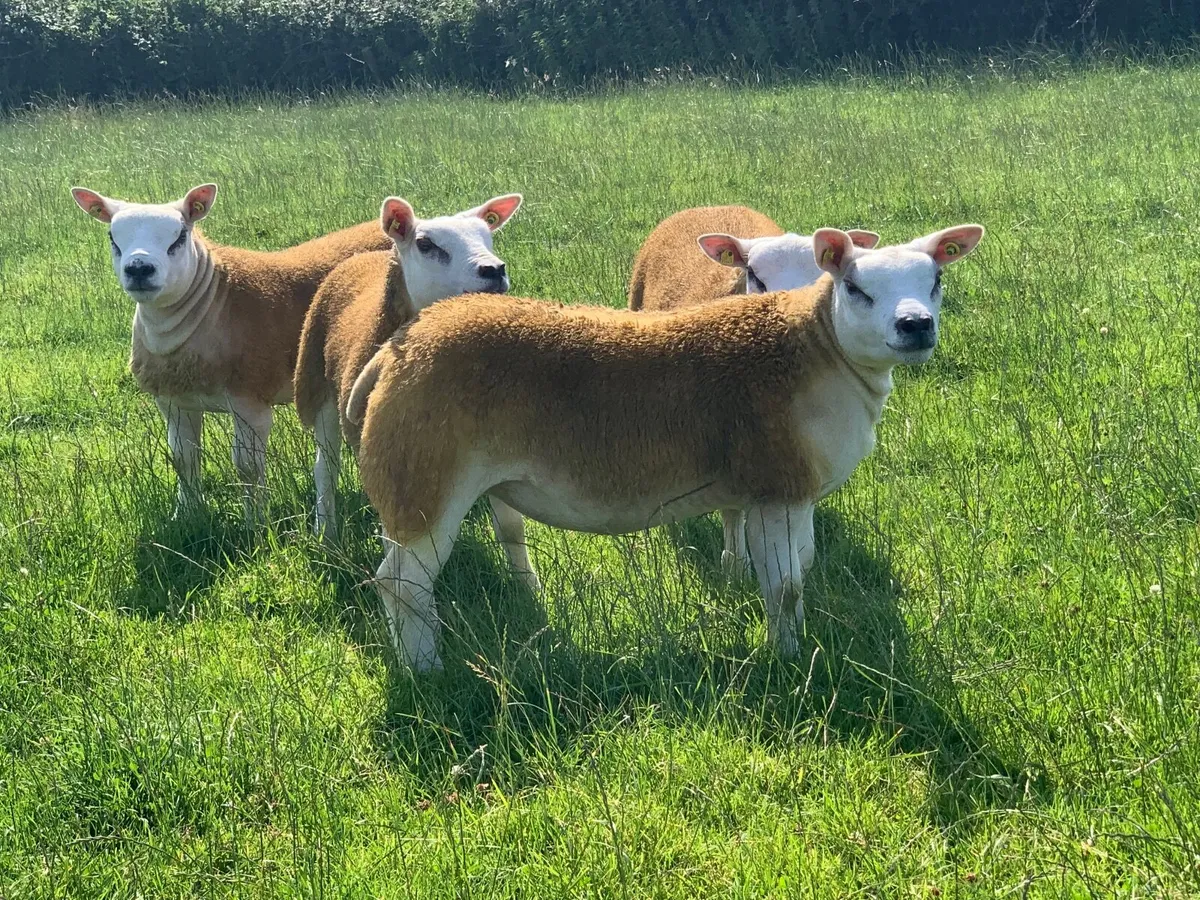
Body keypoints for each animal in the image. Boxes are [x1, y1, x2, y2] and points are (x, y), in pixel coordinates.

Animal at [71, 183, 393, 520]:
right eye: (112, 237)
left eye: (180, 236)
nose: (139, 269)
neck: (212, 301)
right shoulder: (173, 401)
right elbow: (183, 458)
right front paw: (187, 514)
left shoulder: (250, 399)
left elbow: (247, 466)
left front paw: (255, 521)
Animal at [293, 193, 528, 574]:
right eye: (426, 244)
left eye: (487, 235)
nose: (494, 270)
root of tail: (363, 256)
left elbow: (511, 526)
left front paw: (526, 584)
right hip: (320, 388)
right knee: (325, 468)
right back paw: (327, 537)